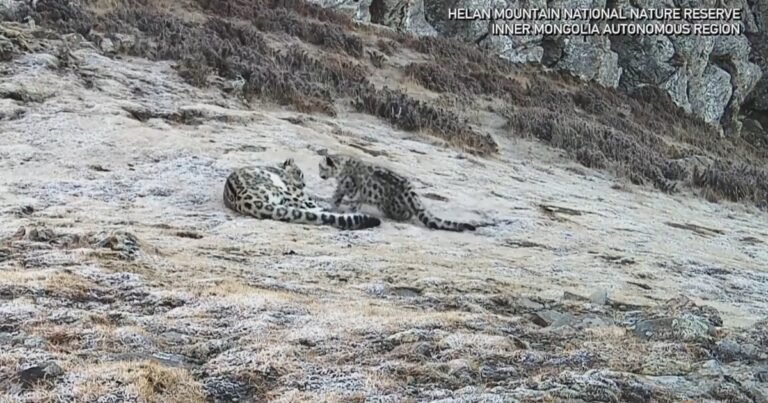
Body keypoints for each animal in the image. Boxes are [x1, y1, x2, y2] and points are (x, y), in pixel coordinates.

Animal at [317, 154, 476, 232]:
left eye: (322, 167)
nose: (320, 175)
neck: (341, 174)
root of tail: (409, 189)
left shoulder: (353, 190)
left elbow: (353, 204)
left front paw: (349, 212)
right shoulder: (341, 187)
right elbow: (335, 197)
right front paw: (331, 207)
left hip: (390, 207)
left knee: (407, 213)